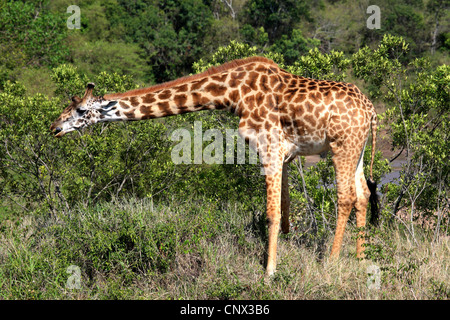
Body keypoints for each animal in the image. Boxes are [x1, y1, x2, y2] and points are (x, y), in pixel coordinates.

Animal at [50, 56, 380, 276]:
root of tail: (372, 111)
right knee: (363, 195)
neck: (232, 93)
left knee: (346, 197)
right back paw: (361, 259)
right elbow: (284, 211)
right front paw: (283, 254)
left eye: (80, 110)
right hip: (358, 148)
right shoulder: (284, 153)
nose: (54, 127)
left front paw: (269, 272)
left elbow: (271, 213)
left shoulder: (269, 146)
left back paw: (332, 262)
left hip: (341, 146)